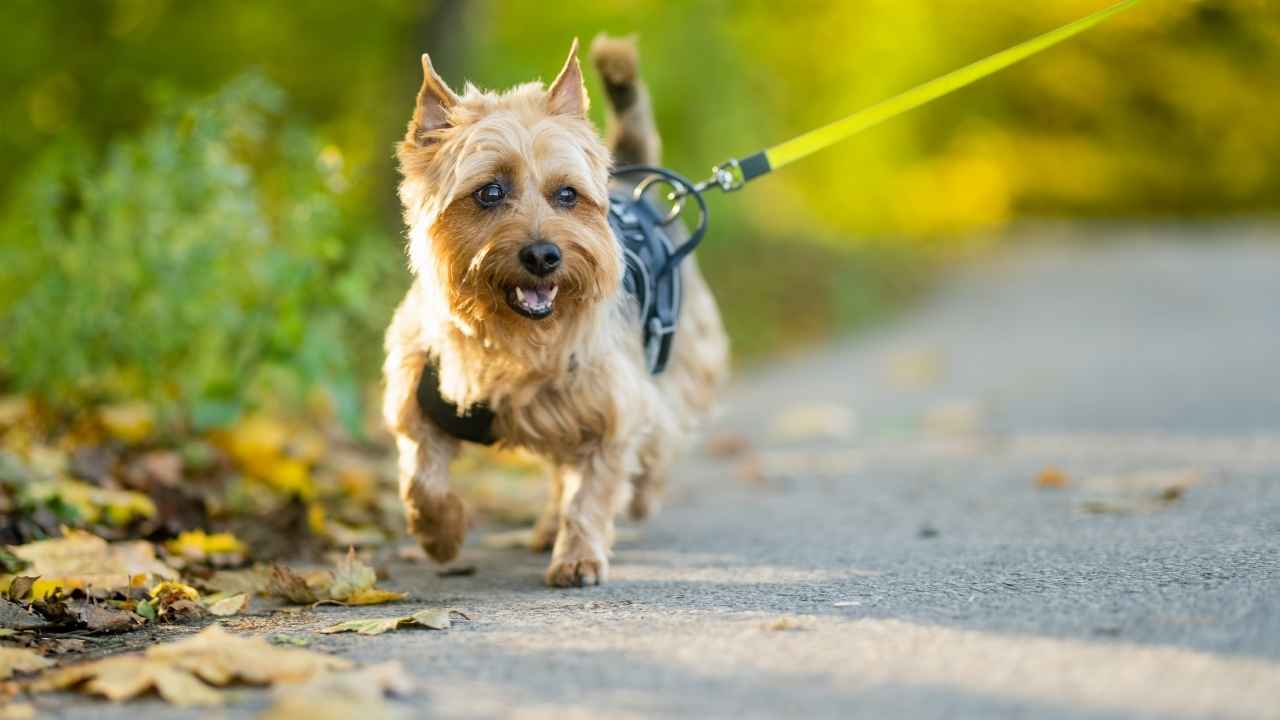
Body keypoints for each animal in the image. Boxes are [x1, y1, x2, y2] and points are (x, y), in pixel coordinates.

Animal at [381, 35, 732, 584]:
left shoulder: (611, 408)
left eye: (567, 194)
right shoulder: (418, 397)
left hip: (679, 358)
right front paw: (440, 535)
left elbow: (593, 491)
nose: (544, 256)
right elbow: (422, 479)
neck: (510, 335)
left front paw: (579, 556)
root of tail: (637, 188)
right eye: (490, 192)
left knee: (658, 438)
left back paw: (638, 497)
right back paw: (547, 528)